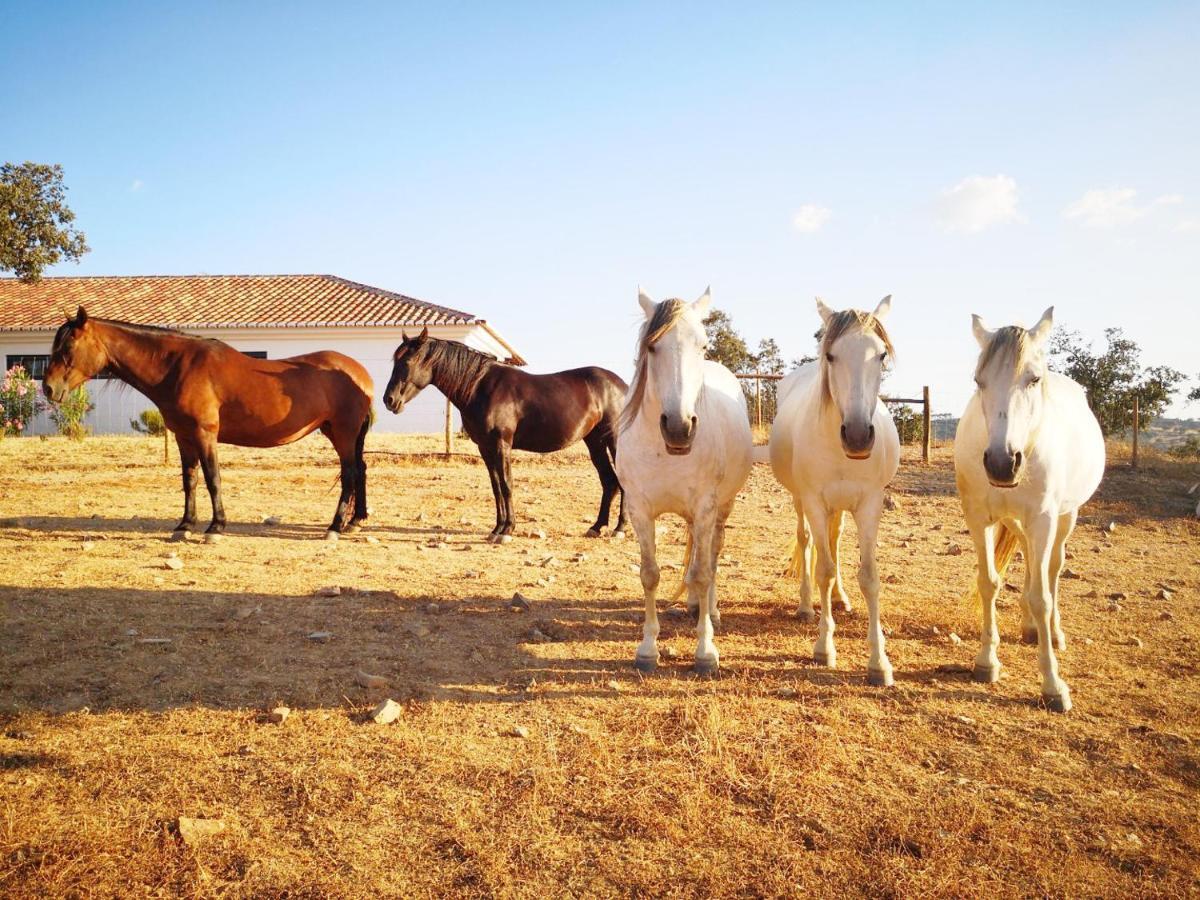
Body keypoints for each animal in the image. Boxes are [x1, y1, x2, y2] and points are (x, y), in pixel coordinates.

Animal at [42, 307, 372, 540]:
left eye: (68, 348)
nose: (48, 388)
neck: (177, 368)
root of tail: (359, 373)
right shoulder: (183, 437)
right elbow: (190, 480)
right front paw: (185, 524)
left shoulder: (205, 434)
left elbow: (213, 478)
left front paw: (216, 527)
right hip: (339, 433)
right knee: (360, 471)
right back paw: (354, 522)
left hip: (344, 433)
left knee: (349, 475)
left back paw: (334, 527)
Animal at [381, 328, 628, 547]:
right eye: (394, 362)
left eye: (408, 363)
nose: (389, 400)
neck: (480, 387)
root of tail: (622, 386)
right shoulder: (485, 448)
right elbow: (496, 486)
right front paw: (496, 529)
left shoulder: (502, 445)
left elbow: (507, 484)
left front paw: (508, 530)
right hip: (594, 441)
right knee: (609, 481)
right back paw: (597, 527)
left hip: (614, 440)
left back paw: (619, 529)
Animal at [614, 289, 753, 676]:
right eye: (652, 346)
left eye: (703, 345)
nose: (679, 427)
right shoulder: (639, 510)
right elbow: (650, 574)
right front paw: (647, 650)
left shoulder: (706, 507)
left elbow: (704, 573)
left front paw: (705, 652)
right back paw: (693, 605)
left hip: (721, 508)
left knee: (713, 556)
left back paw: (711, 610)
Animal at [772, 300, 897, 686]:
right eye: (831, 355)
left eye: (881, 354)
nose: (857, 436)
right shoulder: (814, 500)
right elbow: (823, 569)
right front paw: (824, 647)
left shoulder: (870, 504)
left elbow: (869, 576)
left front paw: (879, 662)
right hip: (801, 501)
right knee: (806, 541)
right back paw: (804, 606)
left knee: (835, 539)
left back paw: (841, 599)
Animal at [955, 307, 1104, 715]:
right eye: (978, 380)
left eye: (1034, 378)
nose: (1002, 463)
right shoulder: (979, 518)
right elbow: (989, 583)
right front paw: (986, 661)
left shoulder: (1043, 518)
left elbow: (1042, 596)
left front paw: (1053, 685)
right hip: (1016, 520)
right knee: (1027, 557)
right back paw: (1029, 627)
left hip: (1064, 518)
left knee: (1051, 568)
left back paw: (1052, 632)